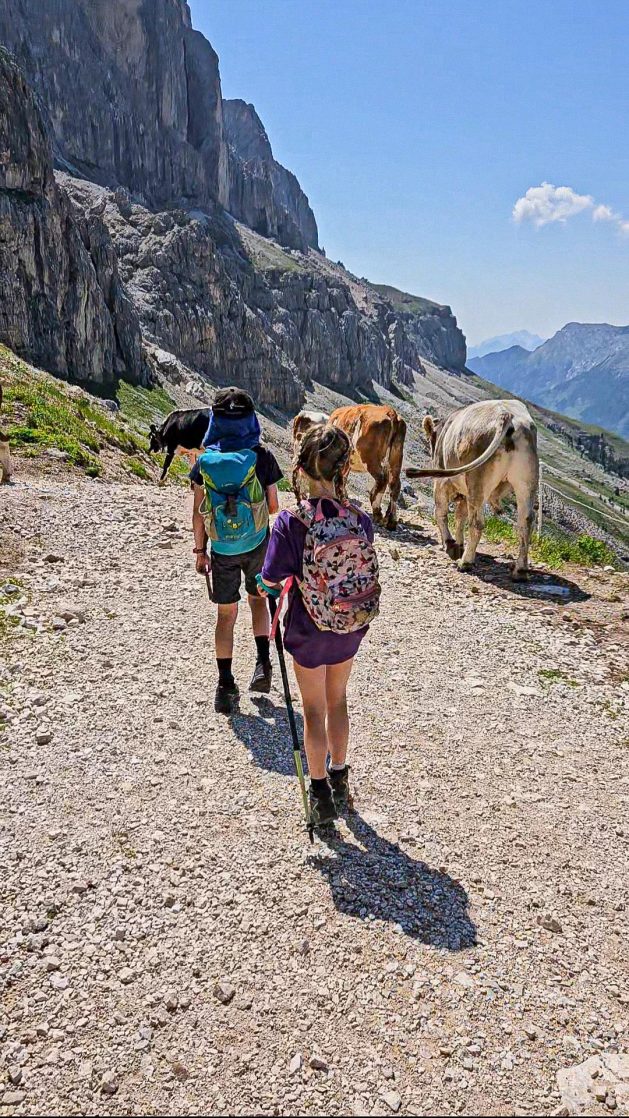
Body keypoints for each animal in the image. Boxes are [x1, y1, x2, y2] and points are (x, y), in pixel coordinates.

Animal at [406, 400, 538, 576]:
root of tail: (507, 415)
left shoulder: (441, 482)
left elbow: (440, 512)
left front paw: (450, 544)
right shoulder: (464, 493)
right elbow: (459, 516)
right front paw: (459, 544)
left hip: (477, 481)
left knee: (476, 522)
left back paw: (466, 562)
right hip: (526, 482)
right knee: (526, 521)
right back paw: (520, 570)